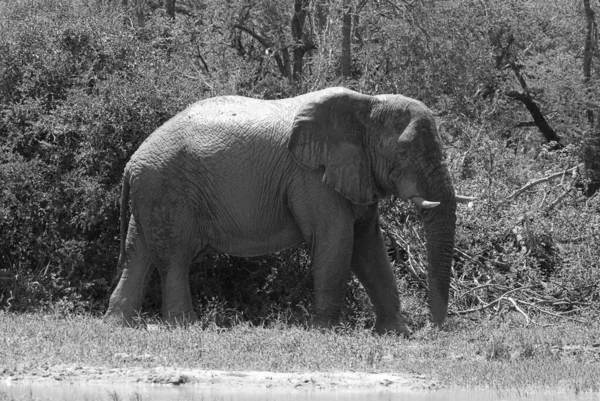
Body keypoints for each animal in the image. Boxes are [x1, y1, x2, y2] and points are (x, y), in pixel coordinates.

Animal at [103, 86, 472, 334]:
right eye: (405, 151)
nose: (434, 329)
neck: (368, 103)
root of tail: (131, 164)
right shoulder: (311, 176)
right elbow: (336, 239)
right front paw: (325, 333)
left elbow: (369, 247)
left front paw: (395, 333)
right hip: (168, 190)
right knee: (174, 258)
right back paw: (187, 327)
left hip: (151, 193)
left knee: (139, 252)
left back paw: (120, 325)